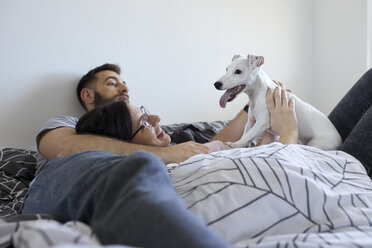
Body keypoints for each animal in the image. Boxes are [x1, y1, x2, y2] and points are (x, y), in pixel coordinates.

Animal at [214, 54, 342, 150]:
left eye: (238, 71)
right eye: (227, 69)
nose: (216, 84)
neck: (258, 94)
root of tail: (339, 139)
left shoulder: (261, 123)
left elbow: (247, 136)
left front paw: (234, 144)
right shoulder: (250, 121)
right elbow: (245, 135)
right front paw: (238, 144)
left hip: (317, 144)